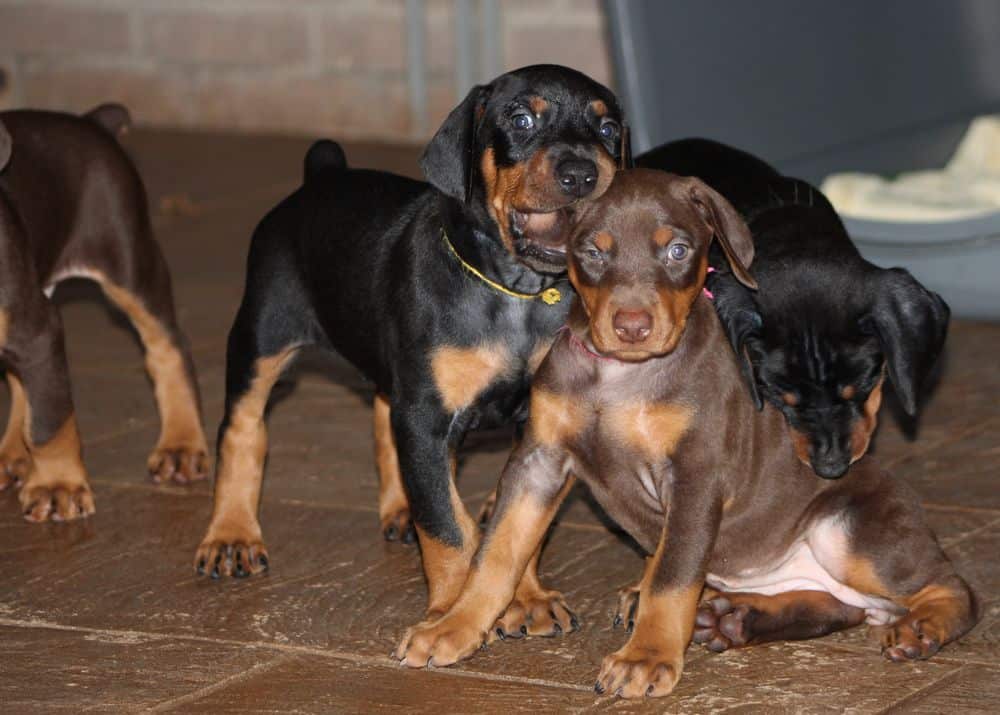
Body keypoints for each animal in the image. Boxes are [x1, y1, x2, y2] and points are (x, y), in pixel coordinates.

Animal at [0, 105, 208, 520]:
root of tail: (91, 121)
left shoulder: (38, 330)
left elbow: (49, 421)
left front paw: (57, 486)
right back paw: (13, 453)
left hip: (128, 262)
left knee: (167, 347)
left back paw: (181, 445)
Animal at [195, 64, 624, 620]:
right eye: (521, 120)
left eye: (609, 129)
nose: (581, 174)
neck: (515, 292)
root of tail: (322, 176)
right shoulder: (425, 416)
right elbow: (445, 525)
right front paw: (450, 611)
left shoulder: (537, 420)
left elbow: (520, 521)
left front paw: (526, 598)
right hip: (260, 336)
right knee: (243, 430)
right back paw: (231, 535)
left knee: (383, 418)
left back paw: (398, 507)